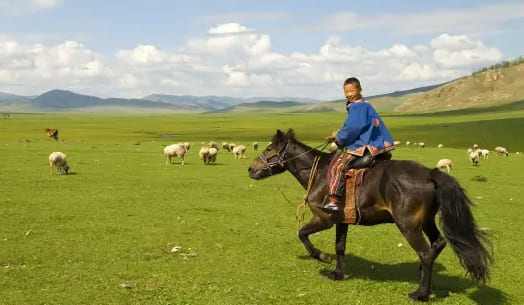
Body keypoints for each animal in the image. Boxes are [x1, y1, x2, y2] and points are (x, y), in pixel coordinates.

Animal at [247, 127, 492, 300]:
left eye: (269, 150)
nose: (251, 169)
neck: (320, 174)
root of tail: (429, 173)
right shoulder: (341, 220)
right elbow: (340, 246)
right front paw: (337, 273)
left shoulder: (324, 218)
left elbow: (302, 233)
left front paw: (321, 256)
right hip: (426, 221)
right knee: (437, 244)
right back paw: (422, 279)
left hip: (408, 225)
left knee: (425, 252)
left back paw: (420, 294)